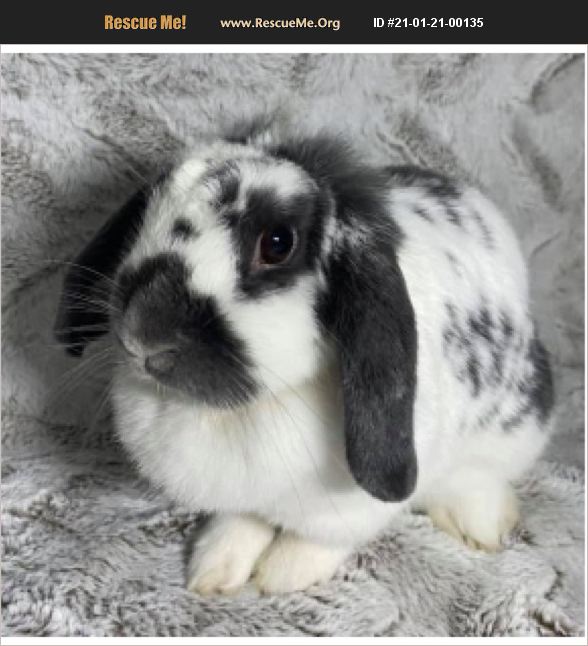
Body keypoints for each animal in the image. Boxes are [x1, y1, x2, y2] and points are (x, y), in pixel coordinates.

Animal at [54, 126, 554, 596]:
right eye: (147, 212)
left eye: (277, 243)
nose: (142, 336)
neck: (252, 406)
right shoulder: (245, 497)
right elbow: (241, 522)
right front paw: (213, 569)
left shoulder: (348, 508)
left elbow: (319, 541)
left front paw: (282, 575)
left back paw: (483, 526)